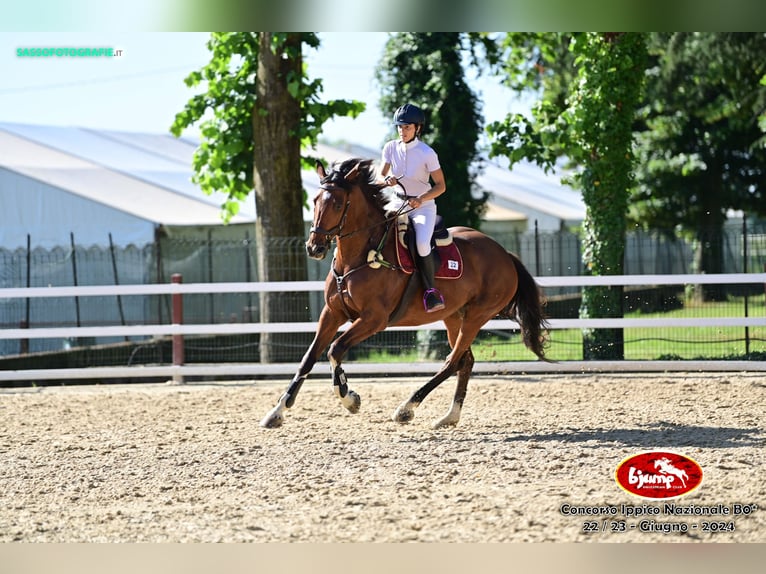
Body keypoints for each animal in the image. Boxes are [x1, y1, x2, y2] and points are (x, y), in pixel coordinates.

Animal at [260, 160, 548, 430]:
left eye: (339, 203)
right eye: (315, 200)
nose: (314, 248)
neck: (358, 259)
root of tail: (505, 254)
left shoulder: (374, 319)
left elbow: (335, 349)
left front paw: (349, 398)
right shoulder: (332, 314)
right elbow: (308, 359)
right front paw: (276, 412)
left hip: (477, 316)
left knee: (452, 361)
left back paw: (407, 408)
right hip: (454, 316)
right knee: (465, 361)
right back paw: (449, 417)